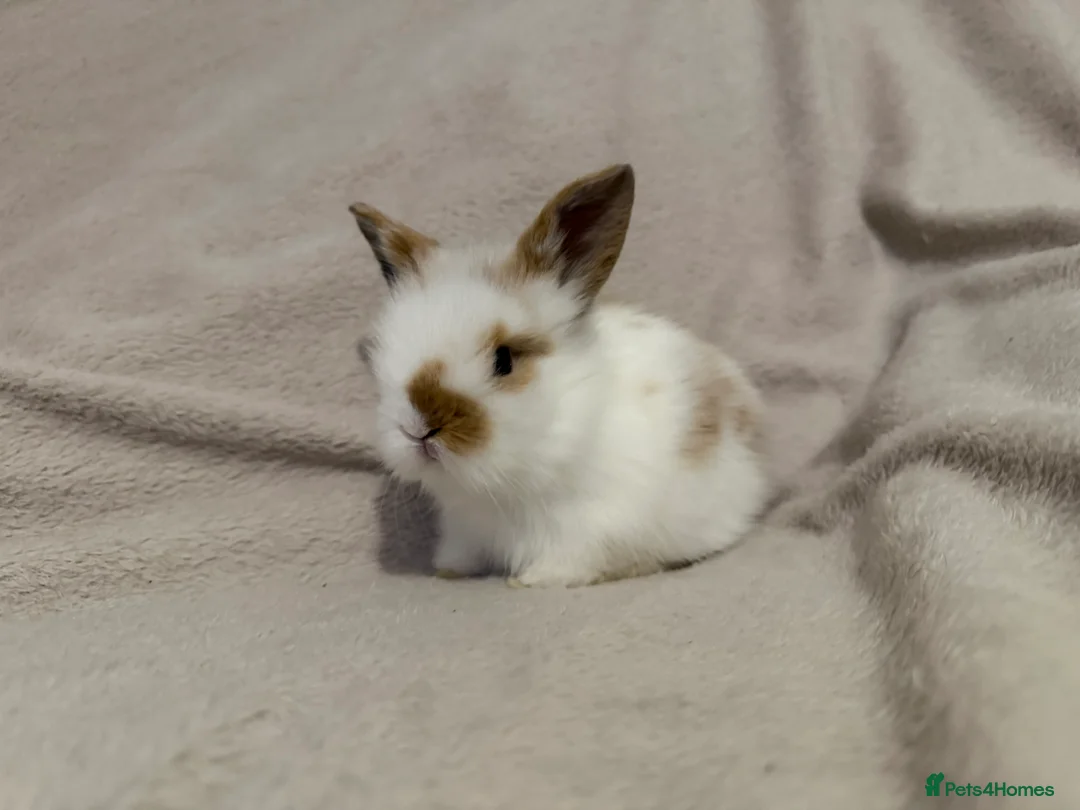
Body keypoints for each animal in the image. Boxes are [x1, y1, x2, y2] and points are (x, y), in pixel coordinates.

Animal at [348, 163, 768, 588]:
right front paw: (448, 571)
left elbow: (572, 561)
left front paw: (529, 580)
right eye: (381, 354)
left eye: (504, 360)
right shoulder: (464, 529)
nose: (418, 429)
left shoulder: (593, 527)